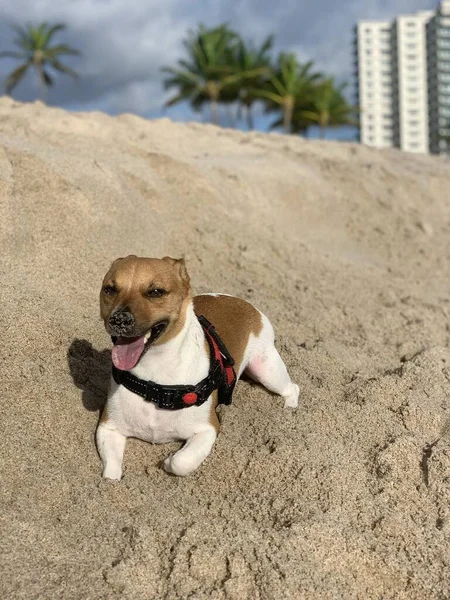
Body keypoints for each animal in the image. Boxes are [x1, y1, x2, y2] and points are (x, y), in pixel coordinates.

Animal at [96, 255, 298, 480]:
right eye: (109, 289)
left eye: (156, 292)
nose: (119, 319)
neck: (154, 376)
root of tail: (244, 302)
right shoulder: (108, 428)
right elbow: (111, 471)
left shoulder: (208, 429)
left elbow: (182, 462)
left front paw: (168, 461)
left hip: (266, 370)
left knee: (292, 388)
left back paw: (289, 409)